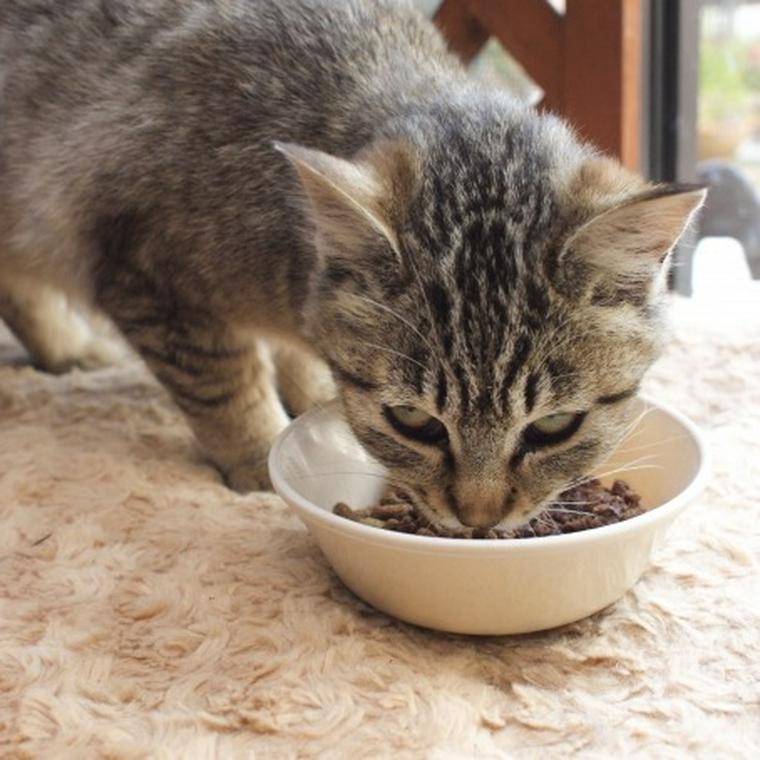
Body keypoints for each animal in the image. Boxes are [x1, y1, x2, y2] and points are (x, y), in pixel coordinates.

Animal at [0, 1, 704, 528]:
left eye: (555, 426)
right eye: (414, 421)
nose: (477, 520)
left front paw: (313, 390)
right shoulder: (149, 274)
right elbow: (224, 383)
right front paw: (260, 452)